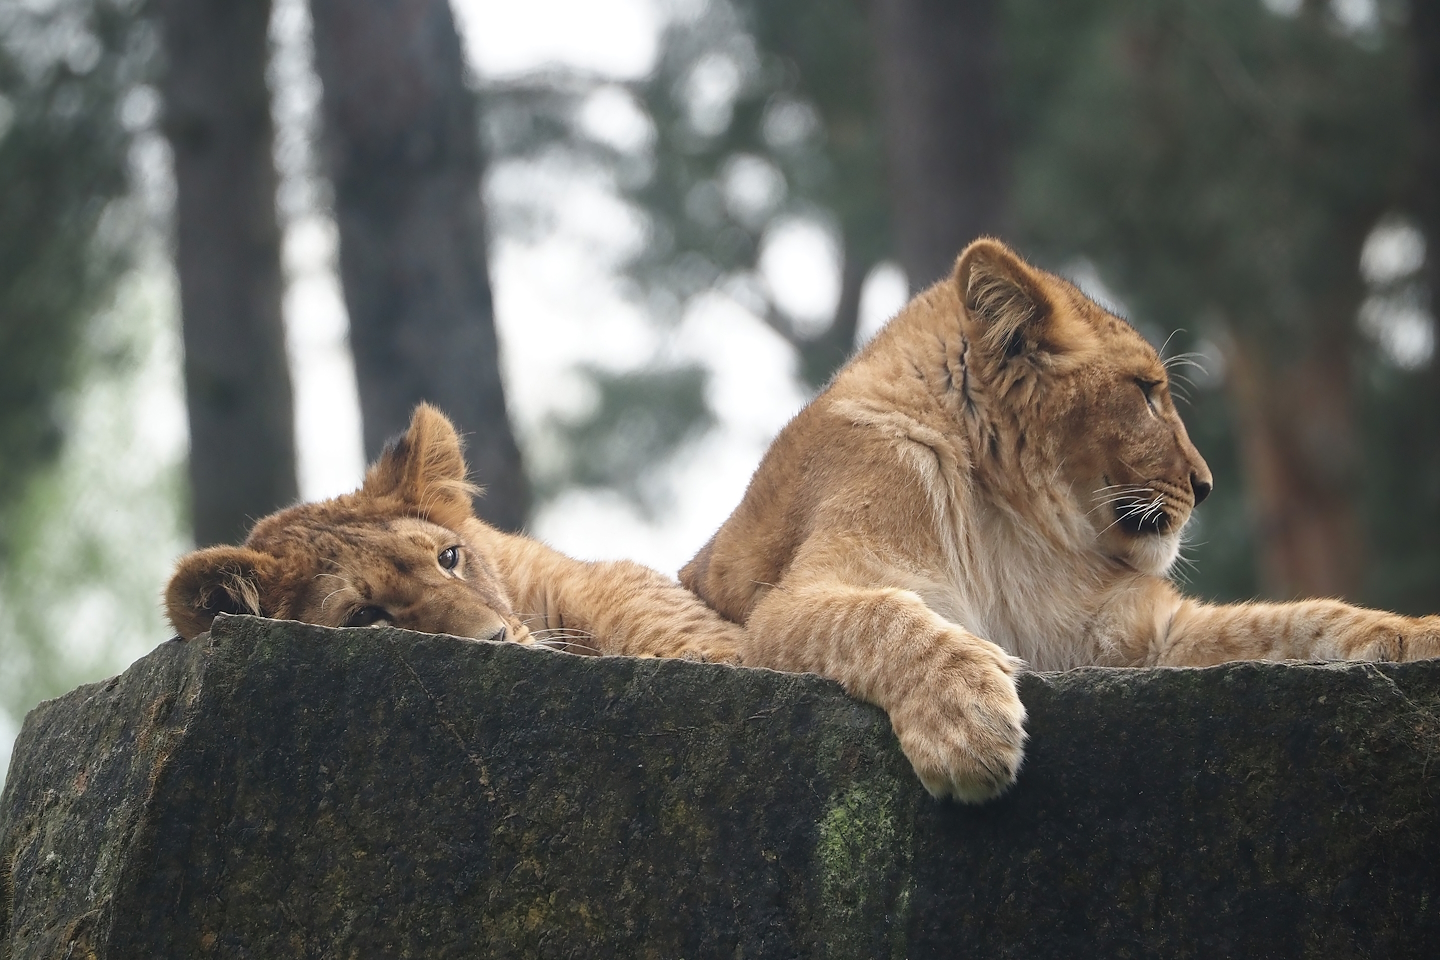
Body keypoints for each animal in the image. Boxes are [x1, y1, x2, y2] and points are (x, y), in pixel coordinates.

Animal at [681, 237, 1440, 803]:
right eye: (1146, 393)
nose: (1206, 486)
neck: (1011, 522)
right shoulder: (790, 603)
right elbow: (882, 617)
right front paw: (967, 720)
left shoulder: (1135, 638)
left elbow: (1292, 620)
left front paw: (1415, 633)